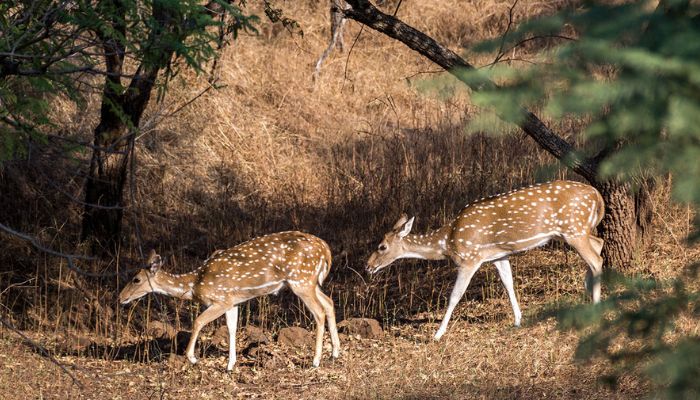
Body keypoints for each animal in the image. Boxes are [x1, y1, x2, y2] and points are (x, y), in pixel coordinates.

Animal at [119, 231, 342, 372]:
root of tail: (326, 250)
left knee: (319, 312)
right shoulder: (232, 301)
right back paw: (335, 353)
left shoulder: (220, 299)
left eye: (136, 279)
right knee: (329, 303)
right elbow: (231, 328)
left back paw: (315, 360)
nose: (121, 297)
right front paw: (230, 365)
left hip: (301, 281)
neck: (194, 284)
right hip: (311, 282)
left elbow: (198, 321)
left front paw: (192, 357)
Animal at [366, 180, 608, 340]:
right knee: (599, 243)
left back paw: (595, 305)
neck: (447, 242)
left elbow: (454, 296)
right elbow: (508, 284)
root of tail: (597, 195)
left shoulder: (470, 258)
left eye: (382, 246)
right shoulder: (498, 255)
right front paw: (518, 320)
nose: (368, 266)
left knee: (596, 259)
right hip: (574, 231)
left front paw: (437, 334)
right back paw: (587, 291)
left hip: (573, 229)